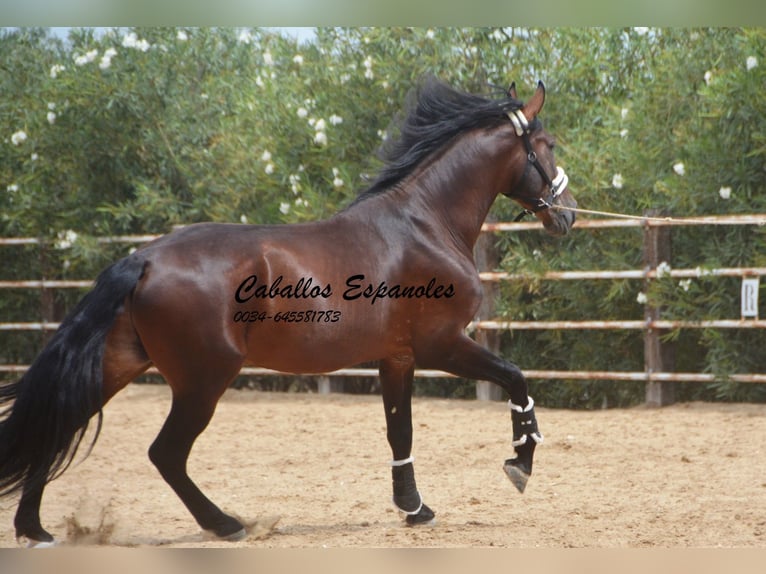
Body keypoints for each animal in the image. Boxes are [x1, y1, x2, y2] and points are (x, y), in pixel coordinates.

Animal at [0, 79, 576, 548]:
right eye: (547, 146)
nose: (568, 215)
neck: (424, 224)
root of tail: (143, 258)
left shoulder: (397, 357)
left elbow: (400, 431)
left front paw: (415, 509)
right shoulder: (443, 344)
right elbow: (516, 379)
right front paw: (519, 465)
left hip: (122, 363)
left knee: (57, 425)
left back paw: (35, 529)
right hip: (203, 380)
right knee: (165, 453)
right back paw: (228, 525)